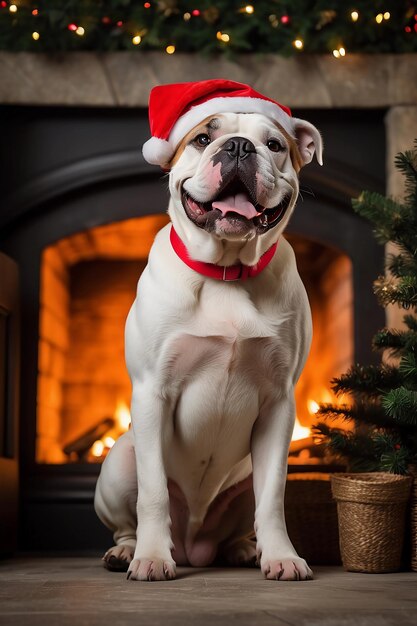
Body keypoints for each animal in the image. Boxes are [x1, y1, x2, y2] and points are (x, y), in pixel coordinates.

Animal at [93, 79, 322, 580]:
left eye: (274, 145)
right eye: (202, 138)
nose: (237, 146)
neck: (225, 272)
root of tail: (193, 544)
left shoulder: (279, 405)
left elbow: (272, 497)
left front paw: (282, 557)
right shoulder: (152, 393)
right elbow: (154, 492)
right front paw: (152, 559)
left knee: (241, 519)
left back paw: (243, 549)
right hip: (119, 464)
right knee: (127, 520)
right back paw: (129, 551)